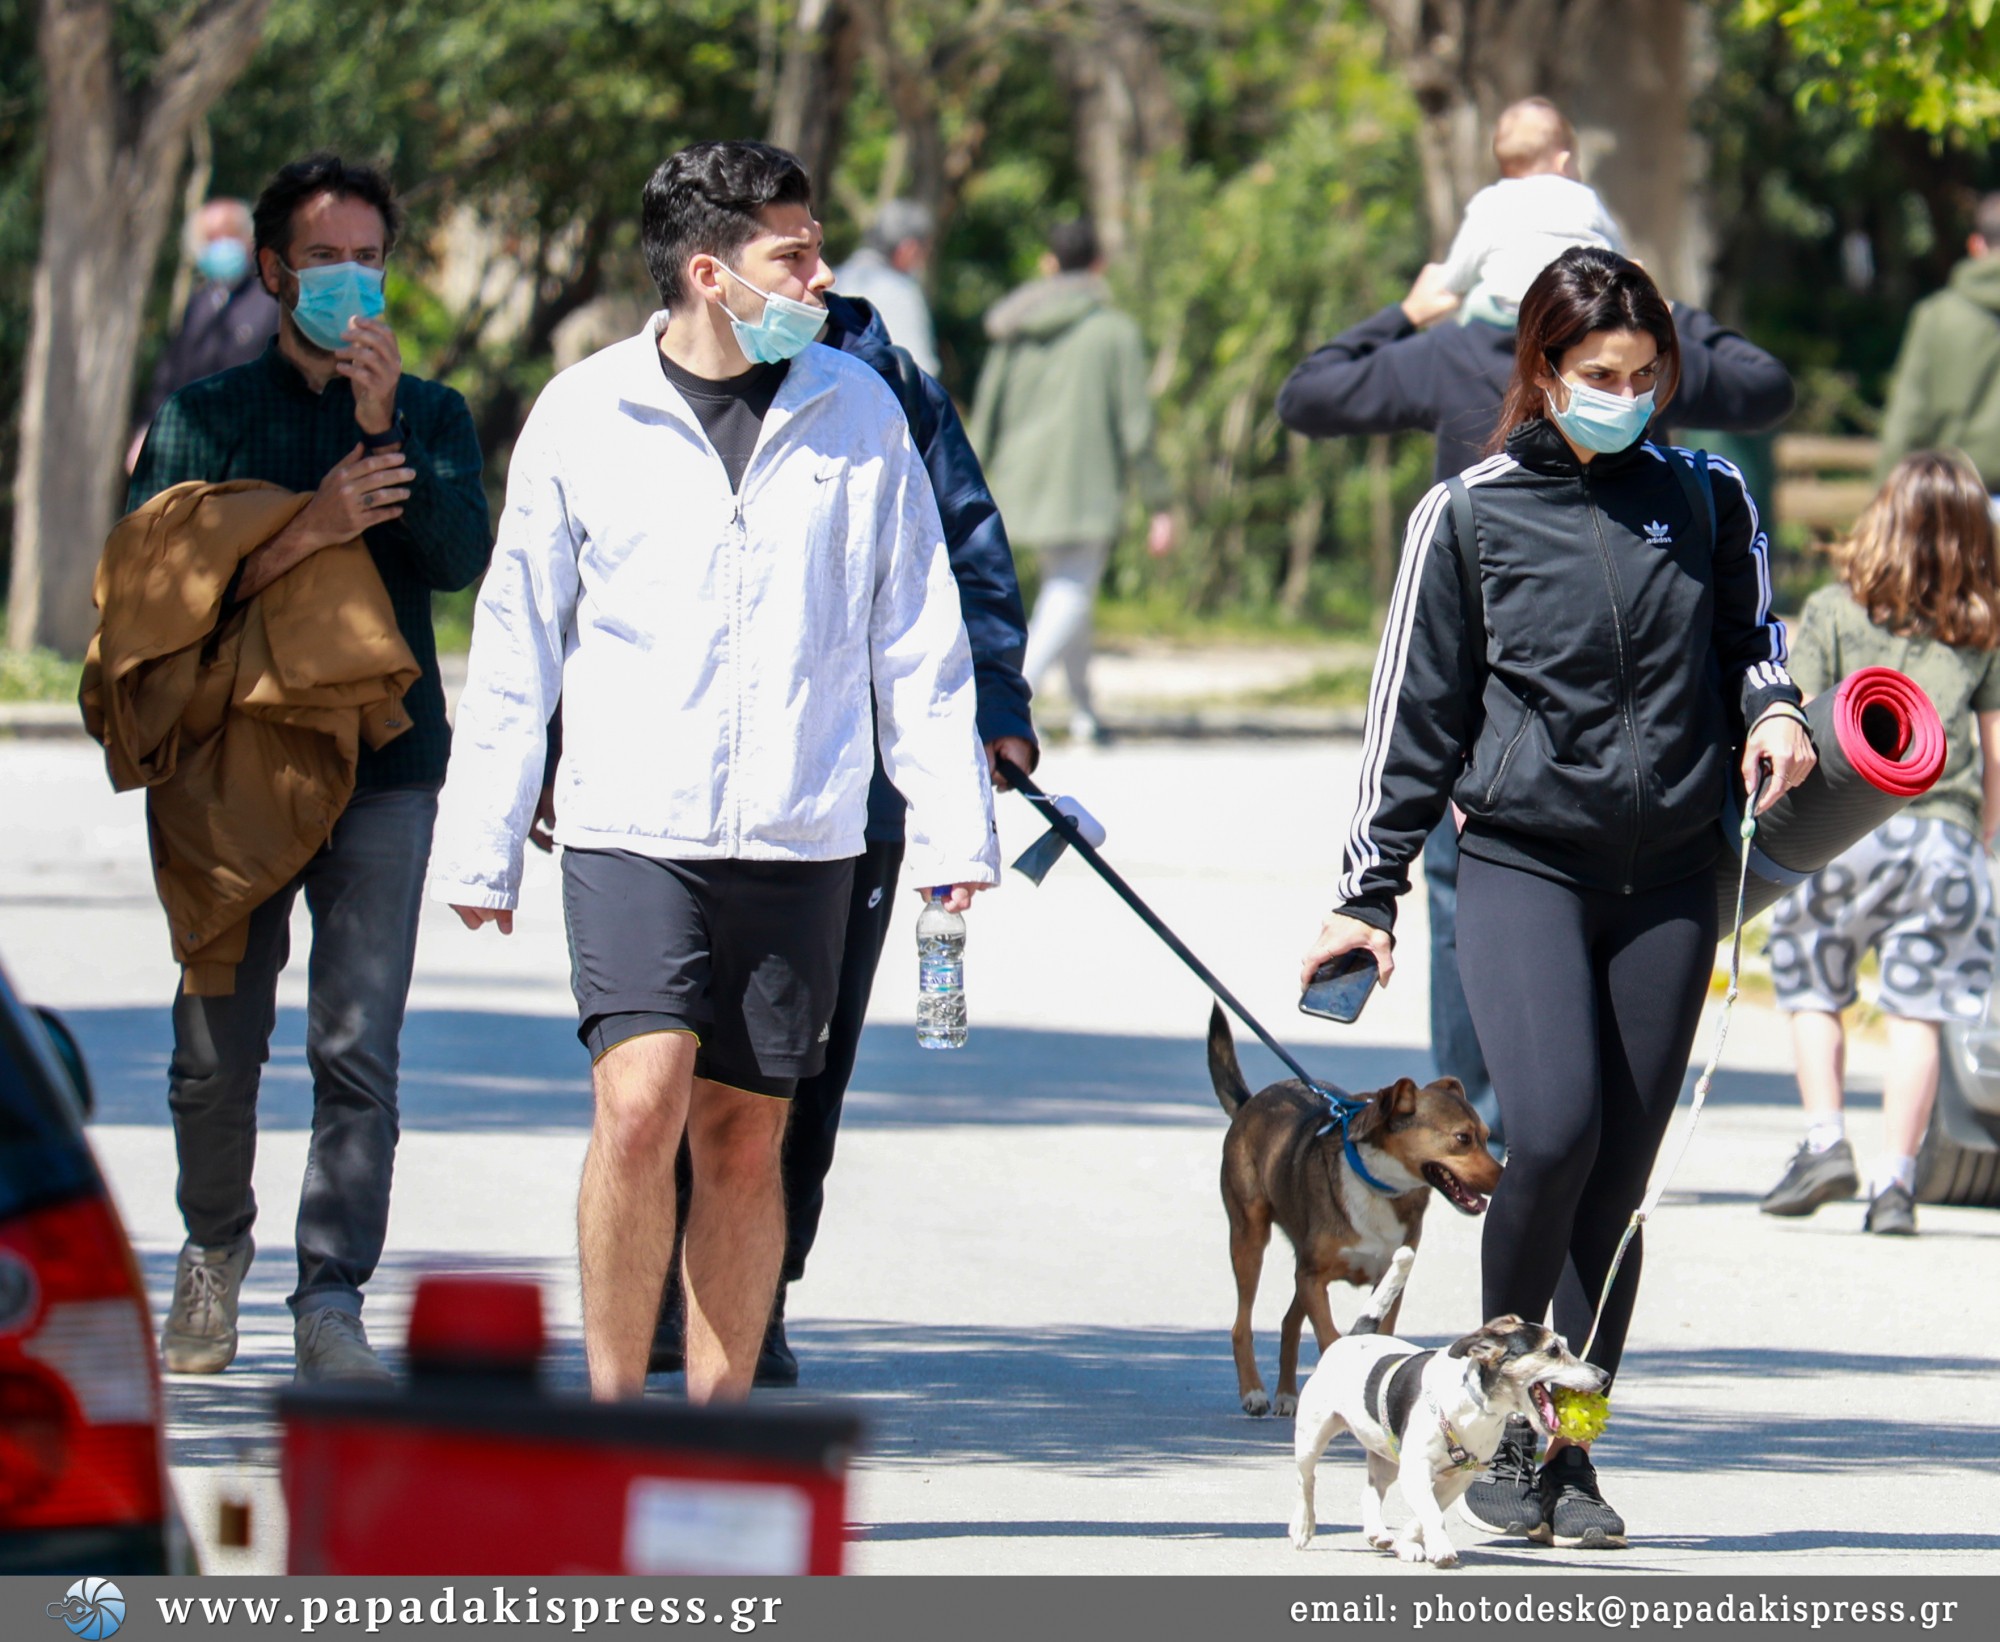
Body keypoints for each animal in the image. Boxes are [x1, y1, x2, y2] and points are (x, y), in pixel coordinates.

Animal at [1200, 1004, 1504, 1416]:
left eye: (1487, 1138)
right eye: (1462, 1139)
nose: (1505, 1177)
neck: (1380, 1186)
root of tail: (1251, 1102)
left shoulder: (1383, 1282)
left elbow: (1379, 1334)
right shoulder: (1313, 1278)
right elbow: (1329, 1338)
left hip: (1298, 1263)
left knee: (1288, 1322)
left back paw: (1286, 1395)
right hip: (1249, 1239)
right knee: (1241, 1324)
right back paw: (1254, 1391)